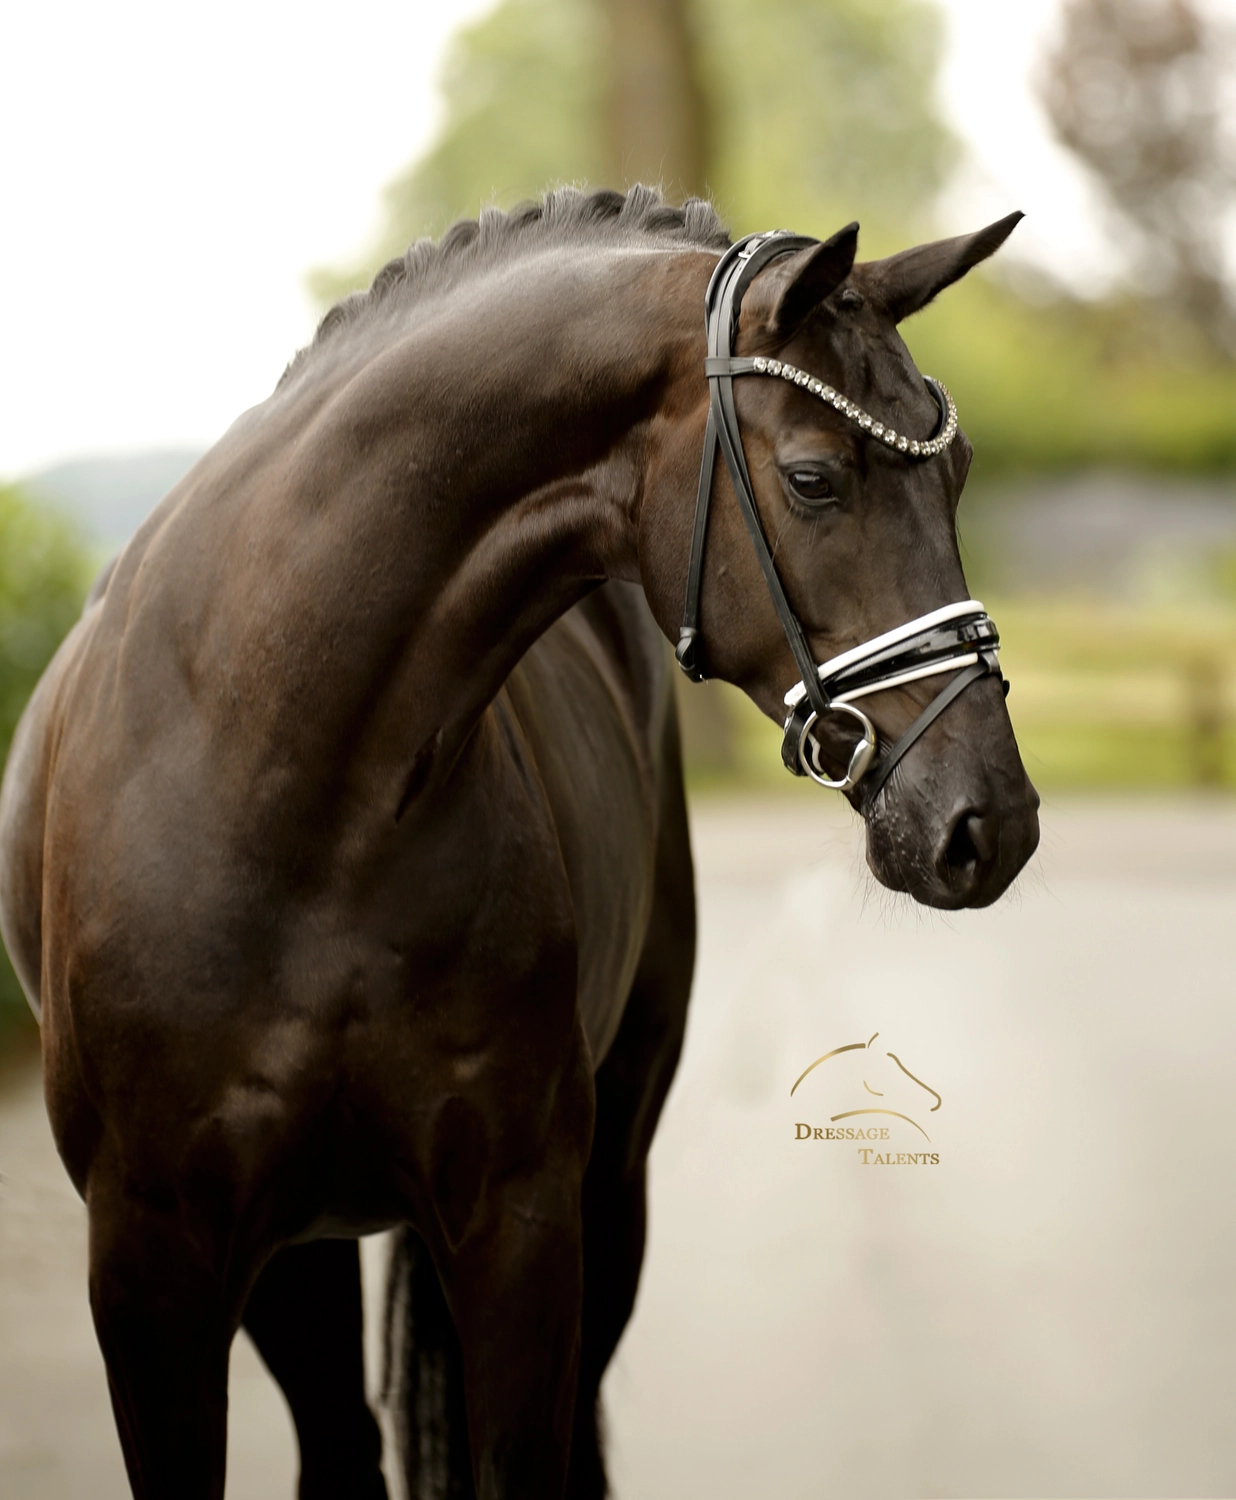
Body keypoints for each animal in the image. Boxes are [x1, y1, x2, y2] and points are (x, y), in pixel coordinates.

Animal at [0, 185, 1039, 1500]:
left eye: (957, 470)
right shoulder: (154, 1269)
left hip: (607, 1186)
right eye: (814, 478)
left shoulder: (522, 1227)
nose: (990, 823)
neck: (286, 779)